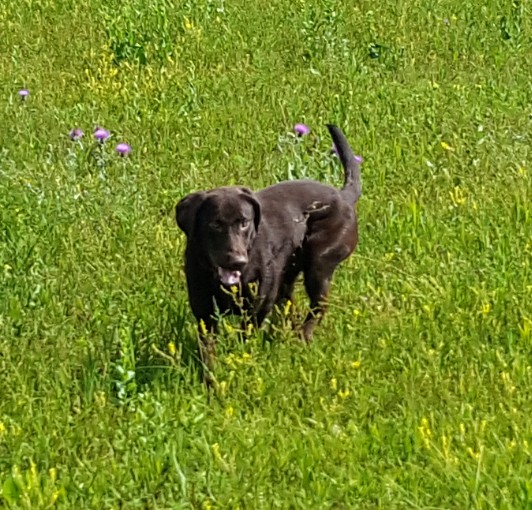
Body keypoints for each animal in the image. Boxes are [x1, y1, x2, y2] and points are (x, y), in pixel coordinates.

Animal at [175, 122, 362, 378]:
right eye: (215, 224)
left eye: (244, 222)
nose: (238, 261)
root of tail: (344, 196)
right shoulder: (204, 313)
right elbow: (208, 353)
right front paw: (210, 381)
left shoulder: (258, 306)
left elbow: (245, 338)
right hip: (288, 275)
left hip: (319, 264)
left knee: (318, 306)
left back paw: (302, 338)